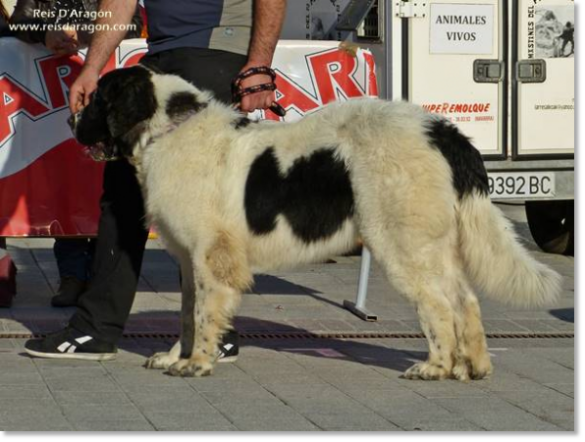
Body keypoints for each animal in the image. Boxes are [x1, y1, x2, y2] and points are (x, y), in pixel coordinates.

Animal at [70, 65, 560, 380]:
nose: (73, 118)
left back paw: (436, 367)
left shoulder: (211, 257)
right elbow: (188, 315)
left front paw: (197, 364)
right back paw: (472, 367)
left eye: (97, 100)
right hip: (432, 245)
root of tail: (442, 131)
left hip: (401, 245)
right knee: (465, 300)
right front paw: (176, 357)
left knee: (438, 305)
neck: (168, 131)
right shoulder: (191, 261)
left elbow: (204, 314)